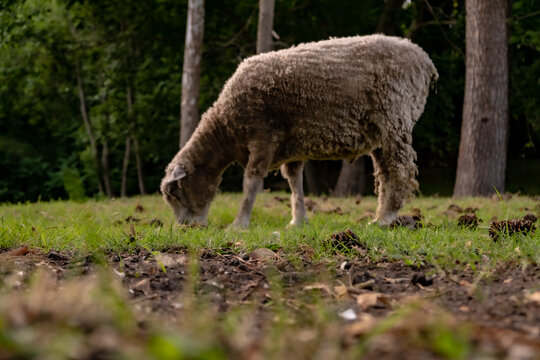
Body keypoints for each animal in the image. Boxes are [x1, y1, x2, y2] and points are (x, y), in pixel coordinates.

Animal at [161, 33, 438, 225]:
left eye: (175, 192)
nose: (185, 227)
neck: (226, 128)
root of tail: (424, 59)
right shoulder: (291, 146)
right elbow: (295, 183)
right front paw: (298, 221)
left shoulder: (264, 135)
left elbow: (252, 181)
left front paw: (239, 224)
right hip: (380, 131)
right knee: (385, 173)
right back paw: (379, 216)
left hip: (395, 117)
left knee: (400, 170)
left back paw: (386, 218)